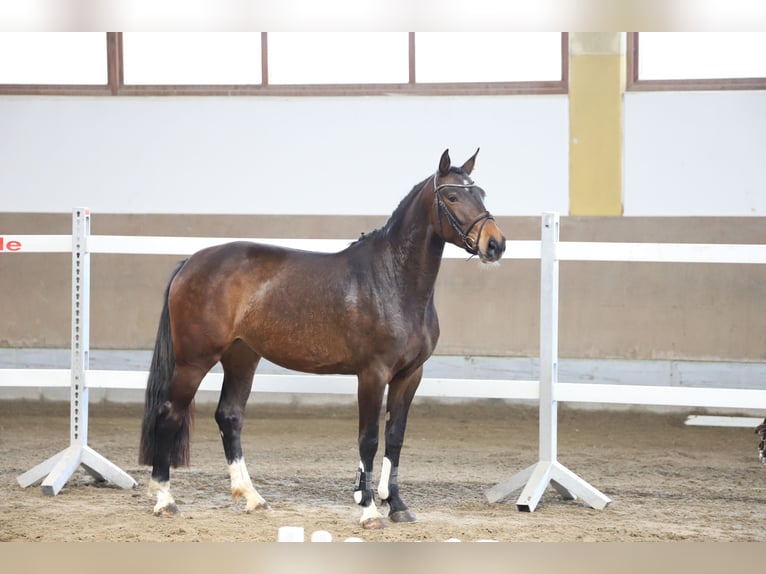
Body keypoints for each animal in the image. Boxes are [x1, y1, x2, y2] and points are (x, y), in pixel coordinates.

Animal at [140, 150, 508, 532]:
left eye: (481, 193)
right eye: (452, 196)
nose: (495, 244)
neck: (392, 280)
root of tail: (190, 262)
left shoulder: (410, 375)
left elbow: (395, 438)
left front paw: (398, 506)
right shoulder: (372, 374)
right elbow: (369, 440)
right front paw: (370, 511)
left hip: (242, 357)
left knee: (229, 416)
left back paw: (253, 498)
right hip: (194, 360)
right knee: (169, 414)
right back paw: (165, 500)